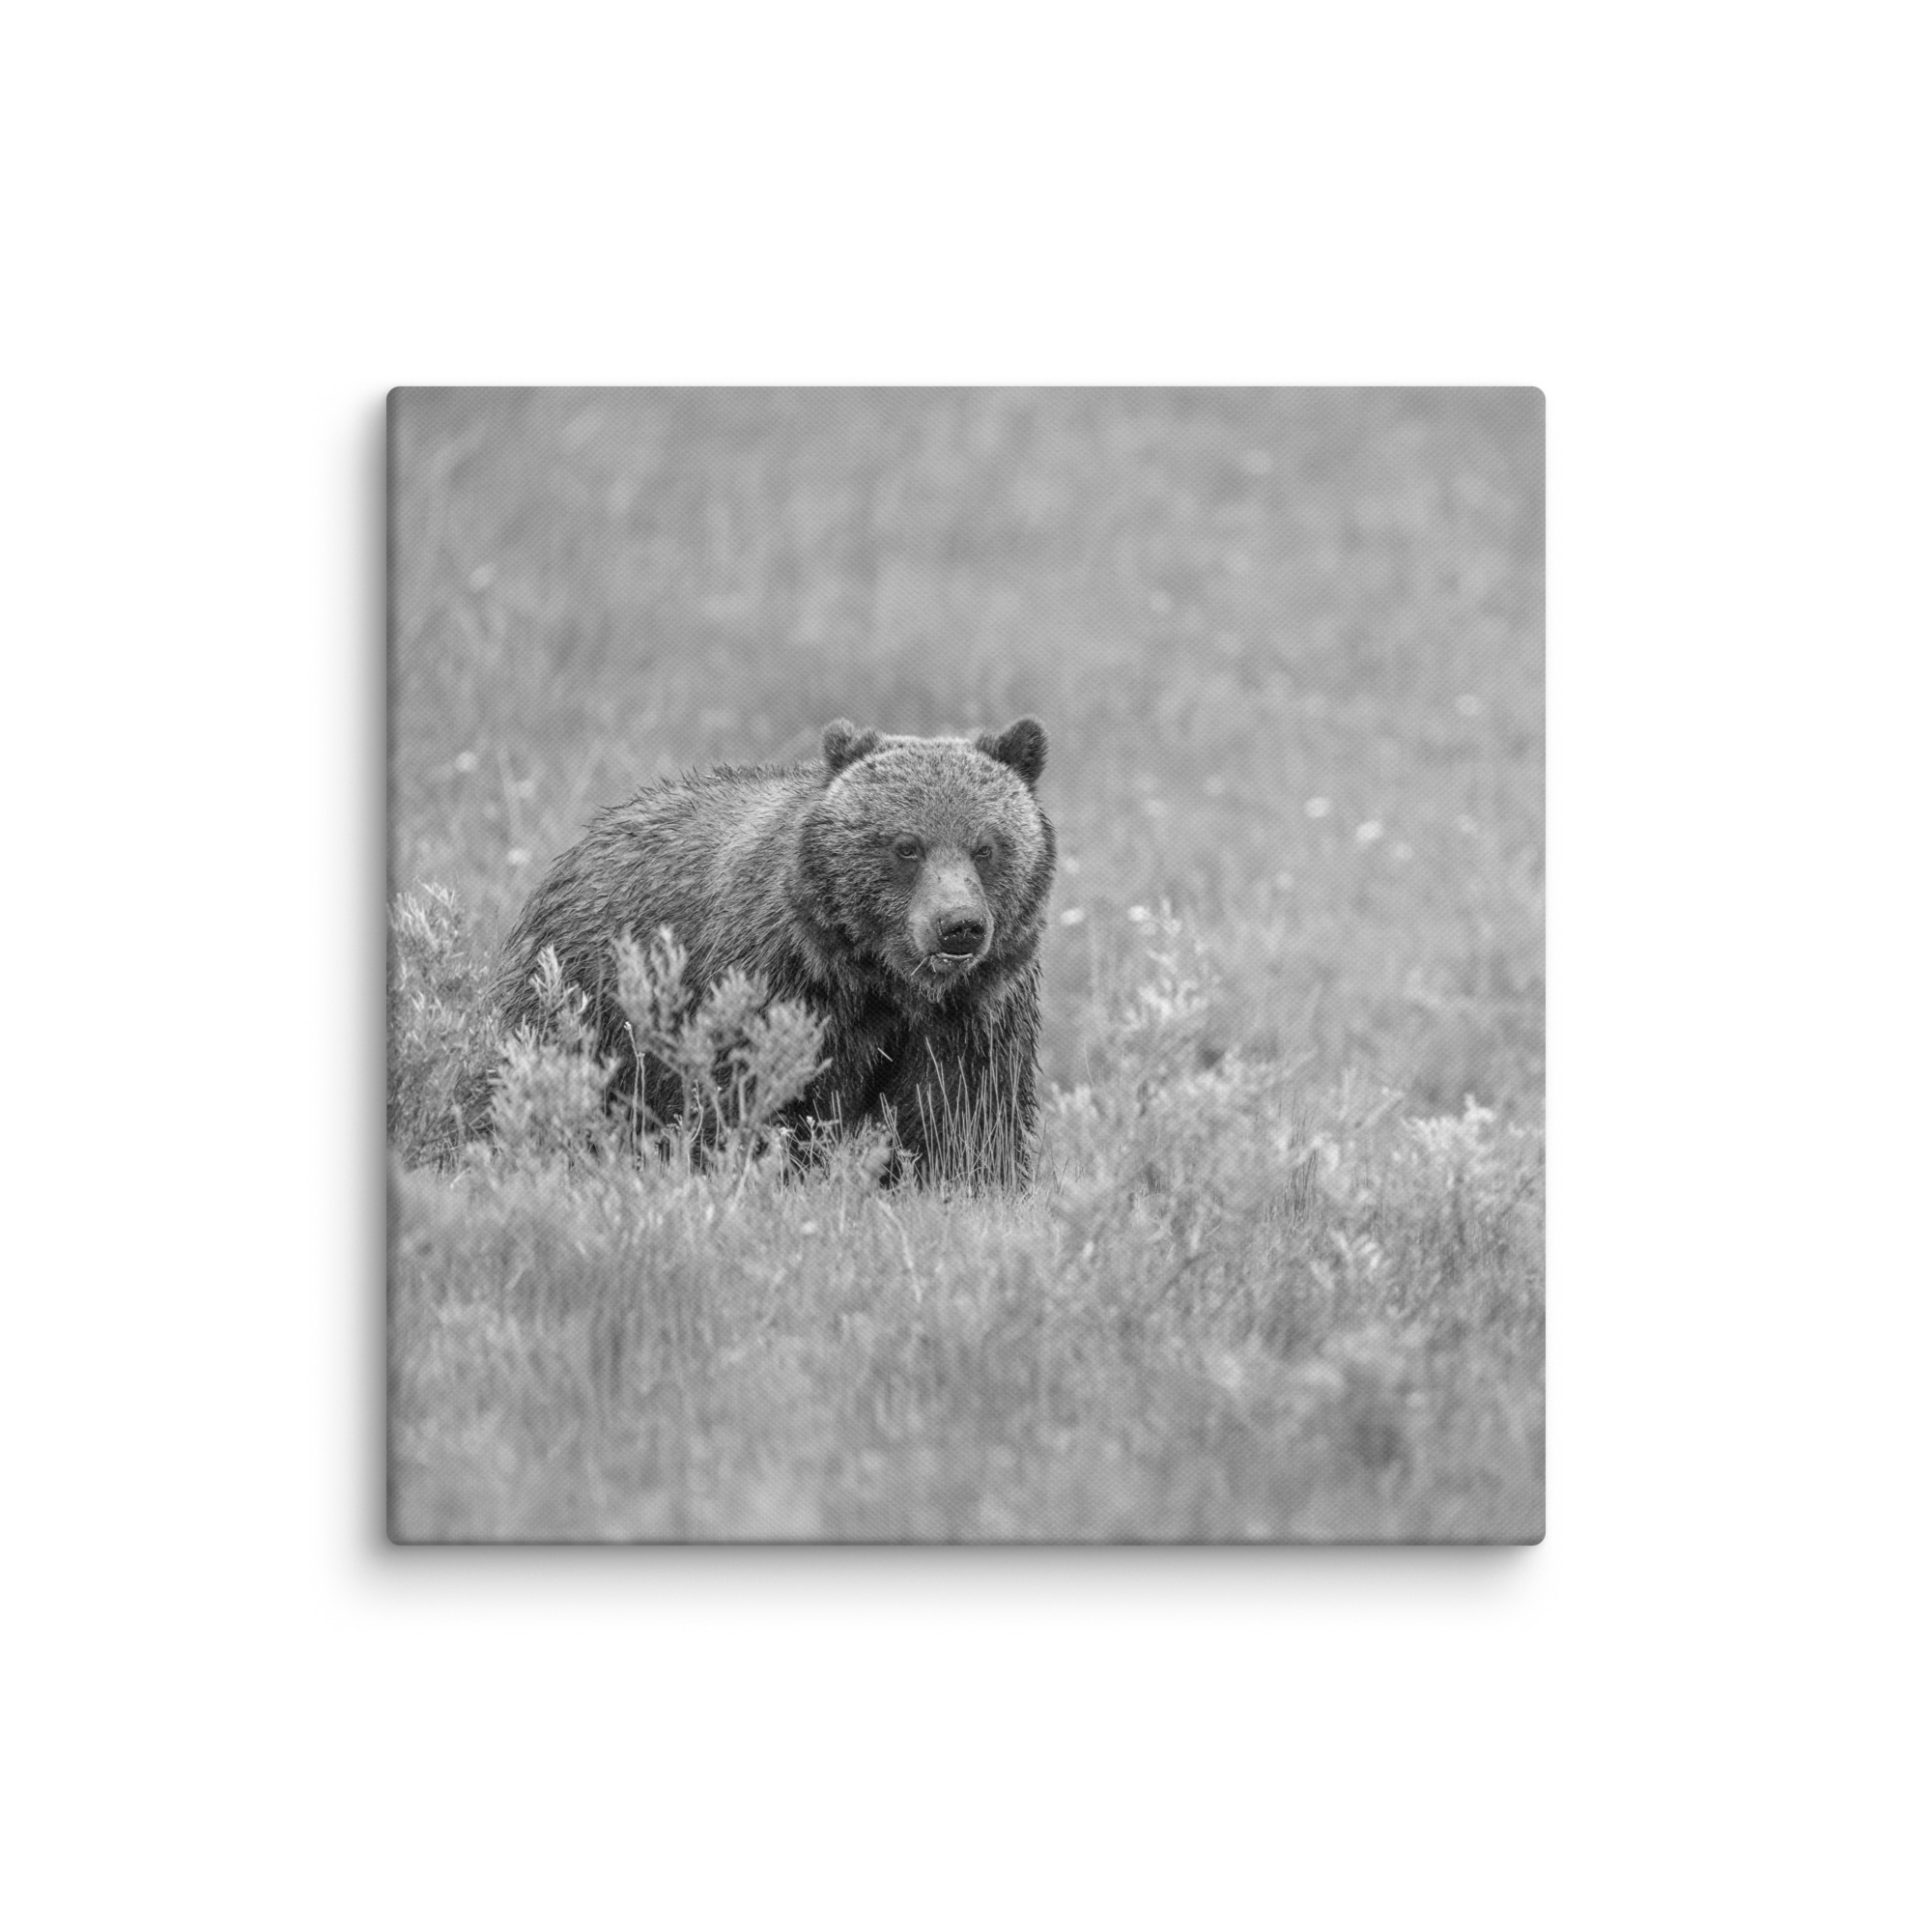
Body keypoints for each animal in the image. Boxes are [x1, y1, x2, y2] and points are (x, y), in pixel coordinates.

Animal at [492, 717, 1056, 1184]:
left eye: (986, 847)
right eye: (906, 846)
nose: (958, 926)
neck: (882, 981)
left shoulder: (974, 1012)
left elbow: (964, 1116)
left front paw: (966, 1183)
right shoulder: (779, 985)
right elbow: (761, 1097)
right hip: (587, 997)